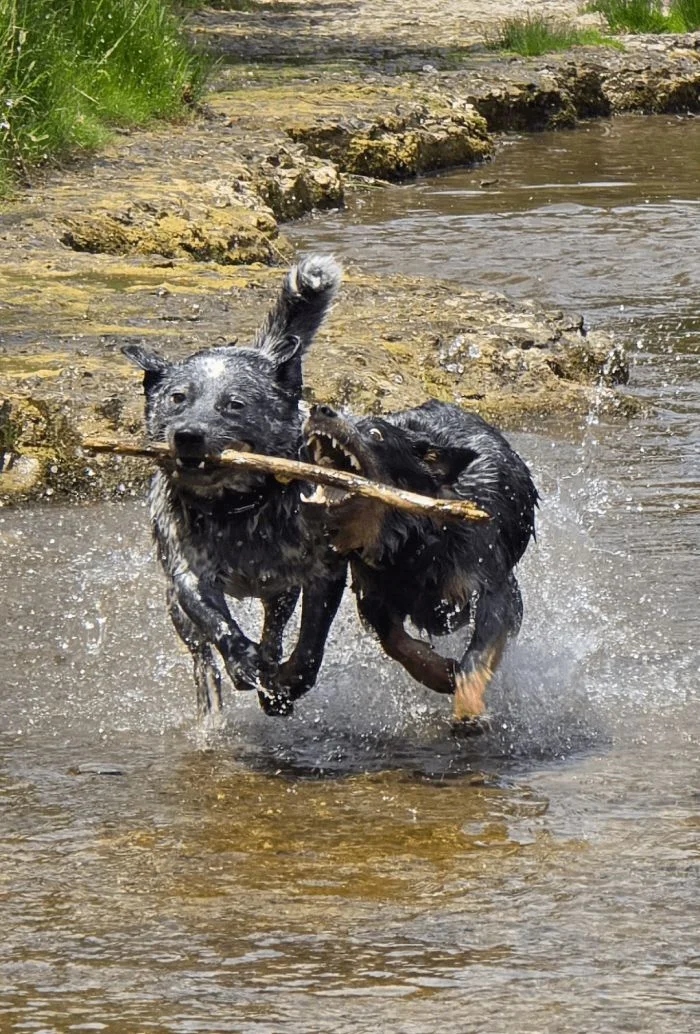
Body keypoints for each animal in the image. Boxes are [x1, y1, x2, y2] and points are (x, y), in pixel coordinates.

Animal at [125, 254, 347, 715]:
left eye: (234, 405)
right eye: (177, 398)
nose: (187, 436)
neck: (239, 510)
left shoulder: (324, 572)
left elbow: (309, 645)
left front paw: (286, 682)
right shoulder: (189, 577)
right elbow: (218, 625)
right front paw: (243, 663)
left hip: (280, 591)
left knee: (275, 628)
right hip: (176, 609)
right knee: (201, 656)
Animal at [303, 399, 537, 732]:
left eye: (375, 433)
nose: (320, 410)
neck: (415, 540)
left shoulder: (493, 592)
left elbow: (476, 656)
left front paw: (468, 710)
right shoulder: (371, 591)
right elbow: (395, 642)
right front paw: (439, 673)